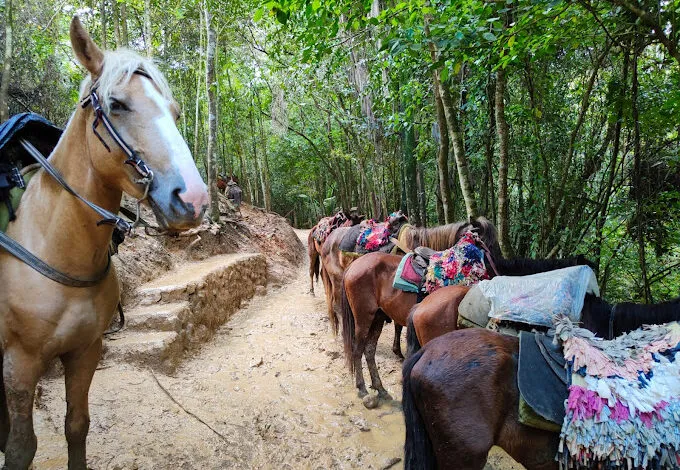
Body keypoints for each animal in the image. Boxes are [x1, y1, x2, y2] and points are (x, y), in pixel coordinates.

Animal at [0, 17, 208, 469]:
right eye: (117, 104)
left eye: (175, 112)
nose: (194, 200)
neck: (56, 246)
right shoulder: (19, 363)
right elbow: (22, 446)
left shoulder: (86, 351)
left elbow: (77, 426)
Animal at [342, 253, 594, 399]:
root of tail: (353, 265)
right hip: (364, 318)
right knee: (357, 349)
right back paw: (362, 389)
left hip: (377, 317)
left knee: (369, 351)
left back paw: (380, 388)